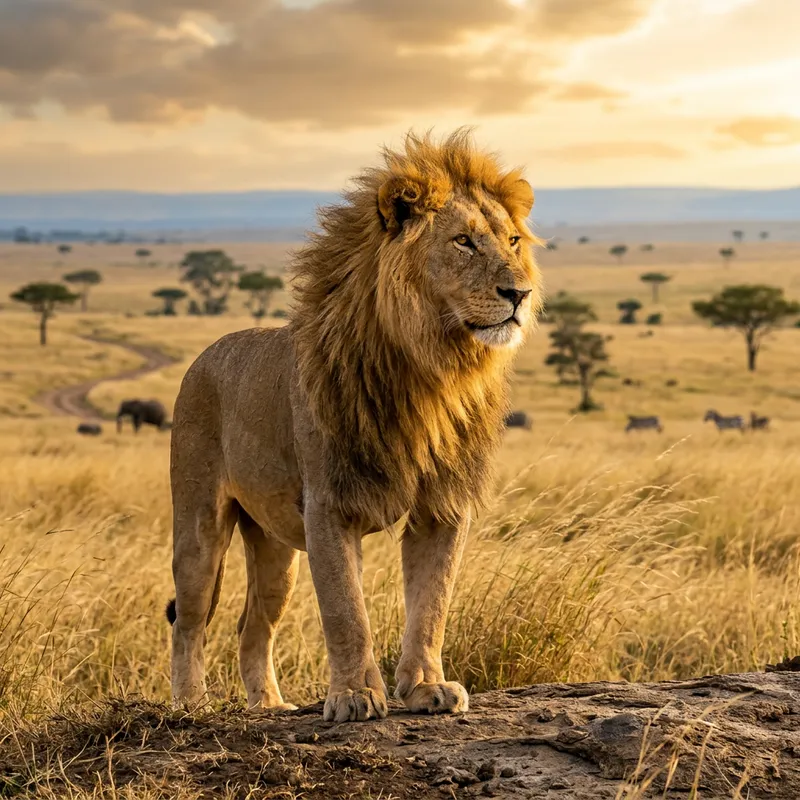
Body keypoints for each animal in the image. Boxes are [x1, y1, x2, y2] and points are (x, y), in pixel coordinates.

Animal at [167, 129, 542, 722]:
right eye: (463, 242)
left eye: (511, 240)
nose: (520, 294)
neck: (431, 371)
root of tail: (207, 353)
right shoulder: (330, 503)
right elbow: (346, 610)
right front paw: (354, 696)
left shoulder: (442, 505)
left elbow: (431, 603)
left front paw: (426, 687)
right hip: (200, 522)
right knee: (190, 619)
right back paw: (189, 706)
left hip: (275, 549)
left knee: (252, 626)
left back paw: (270, 706)